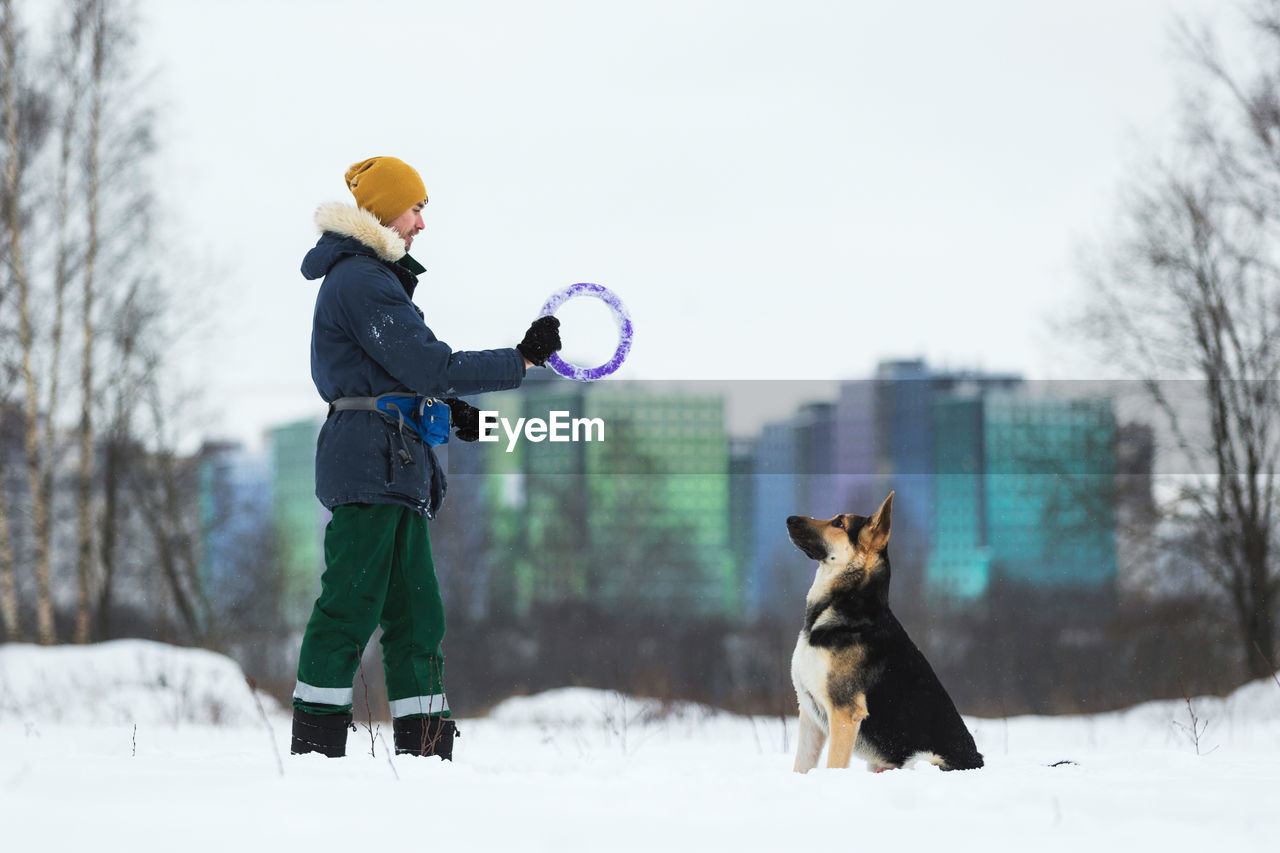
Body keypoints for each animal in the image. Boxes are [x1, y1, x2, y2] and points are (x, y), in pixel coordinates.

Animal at [783, 484, 983, 768]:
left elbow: (834, 764)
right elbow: (801, 767)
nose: (789, 519)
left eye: (839, 523)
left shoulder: (844, 715)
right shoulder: (810, 716)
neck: (848, 600)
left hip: (921, 760)